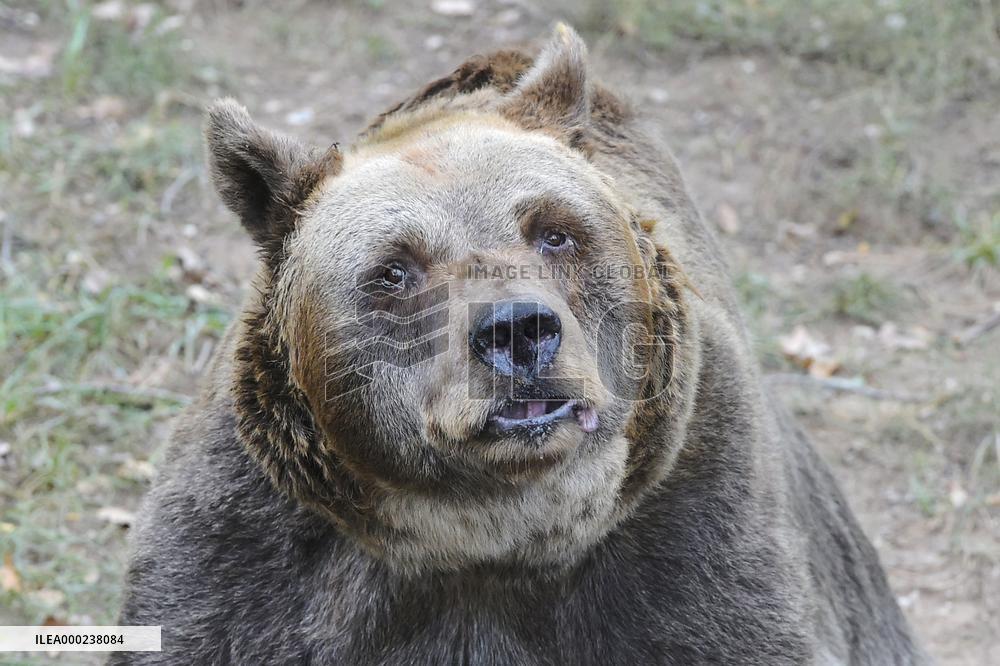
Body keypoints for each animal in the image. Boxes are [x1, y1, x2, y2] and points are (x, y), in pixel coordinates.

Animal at [112, 25, 926, 665]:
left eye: (554, 231)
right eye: (393, 270)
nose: (518, 330)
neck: (489, 539)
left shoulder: (698, 543)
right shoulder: (252, 555)